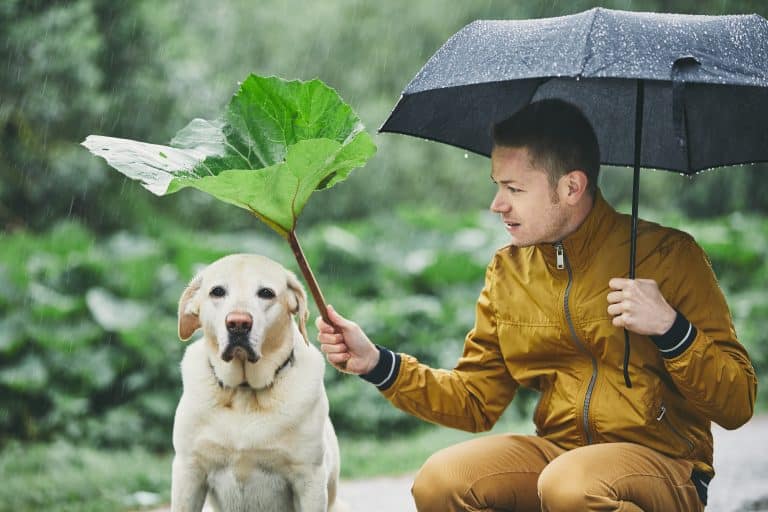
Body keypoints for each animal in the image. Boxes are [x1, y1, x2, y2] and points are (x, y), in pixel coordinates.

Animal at [174, 253, 344, 512]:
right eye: (217, 292)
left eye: (266, 293)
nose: (238, 323)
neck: (244, 392)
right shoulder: (188, 471)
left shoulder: (309, 478)